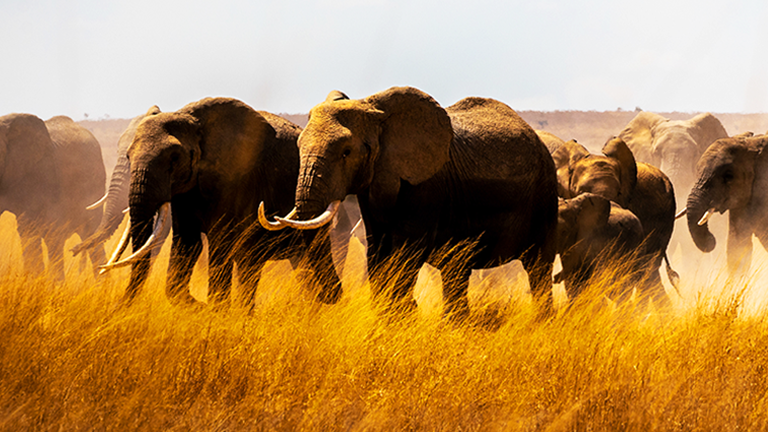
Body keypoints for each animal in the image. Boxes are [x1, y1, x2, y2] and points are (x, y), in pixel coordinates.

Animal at [99, 97, 316, 306]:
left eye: (174, 158)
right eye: (128, 156)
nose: (118, 304)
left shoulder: (236, 180)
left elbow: (220, 243)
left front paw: (213, 309)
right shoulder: (185, 193)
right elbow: (187, 243)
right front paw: (203, 307)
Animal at [261, 86, 559, 319]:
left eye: (346, 152)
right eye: (299, 147)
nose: (336, 296)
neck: (376, 111)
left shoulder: (425, 186)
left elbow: (405, 253)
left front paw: (403, 315)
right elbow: (377, 252)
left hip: (545, 191)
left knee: (539, 267)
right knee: (457, 270)